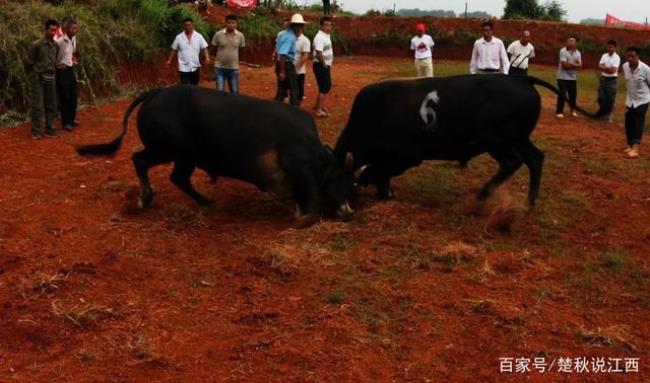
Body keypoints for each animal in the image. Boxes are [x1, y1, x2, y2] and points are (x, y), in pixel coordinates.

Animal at [79, 86, 360, 228]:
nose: (348, 212)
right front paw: (300, 218)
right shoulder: (299, 166)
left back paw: (205, 201)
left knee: (177, 178)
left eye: (354, 185)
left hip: (183, 156)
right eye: (344, 182)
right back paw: (145, 198)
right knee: (140, 160)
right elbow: (310, 203)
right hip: (169, 150)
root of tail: (154, 93)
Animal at [334, 75, 592, 207]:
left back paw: (483, 196)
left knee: (512, 162)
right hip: (518, 139)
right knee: (535, 159)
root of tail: (521, 79)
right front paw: (386, 191)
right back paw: (528, 204)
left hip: (496, 140)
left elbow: (373, 171)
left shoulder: (407, 157)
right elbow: (380, 172)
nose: (342, 211)